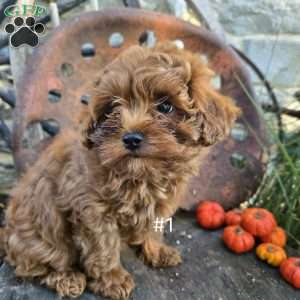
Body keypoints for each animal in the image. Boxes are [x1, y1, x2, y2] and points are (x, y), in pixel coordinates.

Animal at [0, 42, 239, 300]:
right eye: (113, 107)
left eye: (165, 106)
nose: (131, 138)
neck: (140, 175)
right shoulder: (91, 208)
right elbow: (103, 245)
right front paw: (112, 279)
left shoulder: (159, 204)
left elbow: (152, 228)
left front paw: (156, 251)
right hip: (44, 236)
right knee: (35, 265)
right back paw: (67, 278)